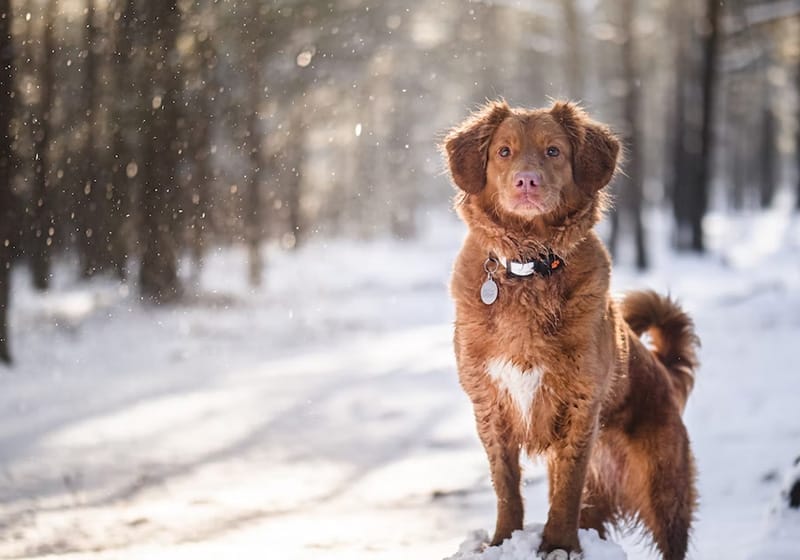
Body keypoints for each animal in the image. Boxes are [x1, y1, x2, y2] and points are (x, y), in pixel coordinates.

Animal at [444, 101, 700, 560]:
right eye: (504, 152)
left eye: (553, 151)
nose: (527, 181)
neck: (529, 266)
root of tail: (663, 373)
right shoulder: (489, 404)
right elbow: (505, 485)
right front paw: (503, 540)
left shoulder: (581, 403)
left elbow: (566, 486)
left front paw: (559, 545)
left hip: (664, 487)